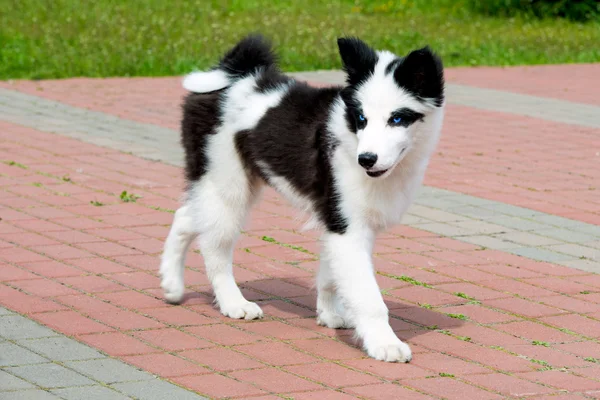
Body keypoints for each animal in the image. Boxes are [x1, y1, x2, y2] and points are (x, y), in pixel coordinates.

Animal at [161, 35, 446, 362]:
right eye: (361, 118)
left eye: (397, 119)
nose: (366, 159)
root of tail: (233, 74)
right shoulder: (347, 227)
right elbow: (367, 295)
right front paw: (385, 343)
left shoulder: (338, 224)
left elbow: (331, 274)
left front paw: (329, 315)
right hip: (227, 185)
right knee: (214, 247)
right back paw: (234, 303)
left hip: (221, 185)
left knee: (186, 216)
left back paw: (171, 285)